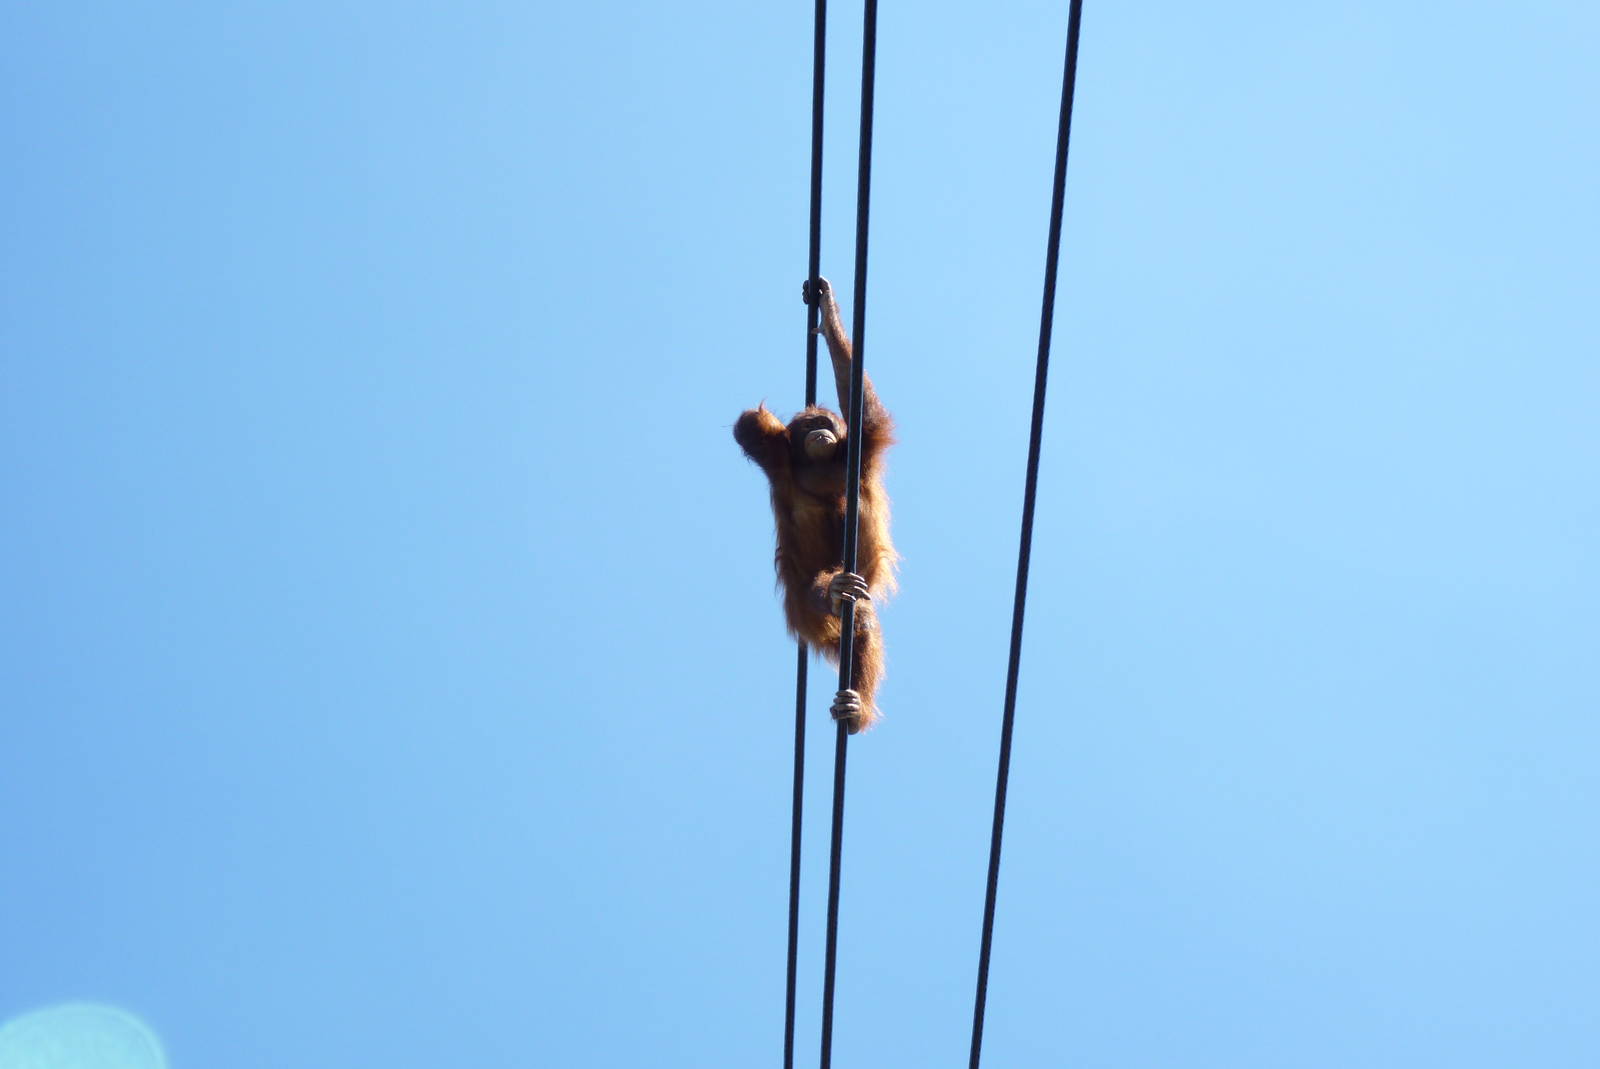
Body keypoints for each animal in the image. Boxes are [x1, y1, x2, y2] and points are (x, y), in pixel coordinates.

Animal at [734, 277, 899, 733]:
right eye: (811, 426)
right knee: (818, 594)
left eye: (825, 424)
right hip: (800, 608)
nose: (819, 431)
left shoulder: (861, 449)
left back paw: (854, 709)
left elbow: (862, 407)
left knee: (861, 618)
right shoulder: (778, 461)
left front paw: (828, 314)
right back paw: (835, 591)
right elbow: (748, 427)